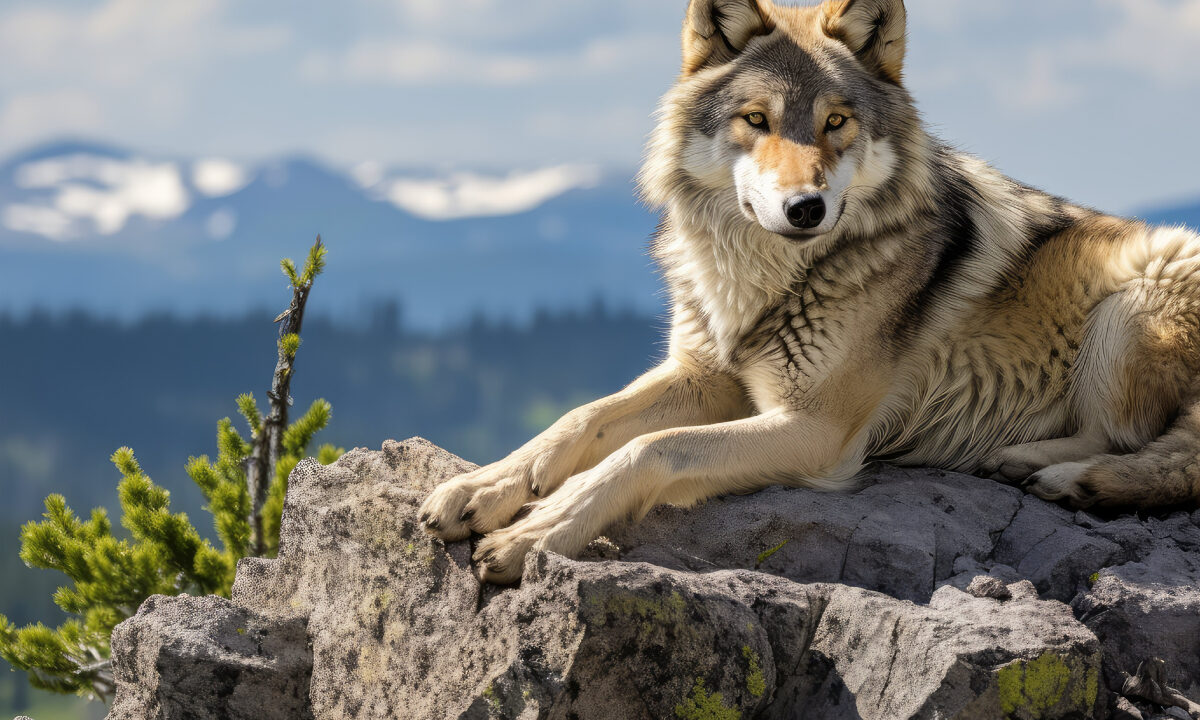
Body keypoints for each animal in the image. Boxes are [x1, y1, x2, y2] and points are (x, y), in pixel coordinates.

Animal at [419, 0, 1200, 584]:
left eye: (836, 122)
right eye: (756, 120)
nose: (805, 209)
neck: (756, 280)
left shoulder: (814, 428)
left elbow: (651, 450)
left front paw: (538, 532)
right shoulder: (706, 375)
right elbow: (581, 419)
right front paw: (482, 489)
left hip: (1139, 292)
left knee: (1138, 444)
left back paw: (1055, 472)